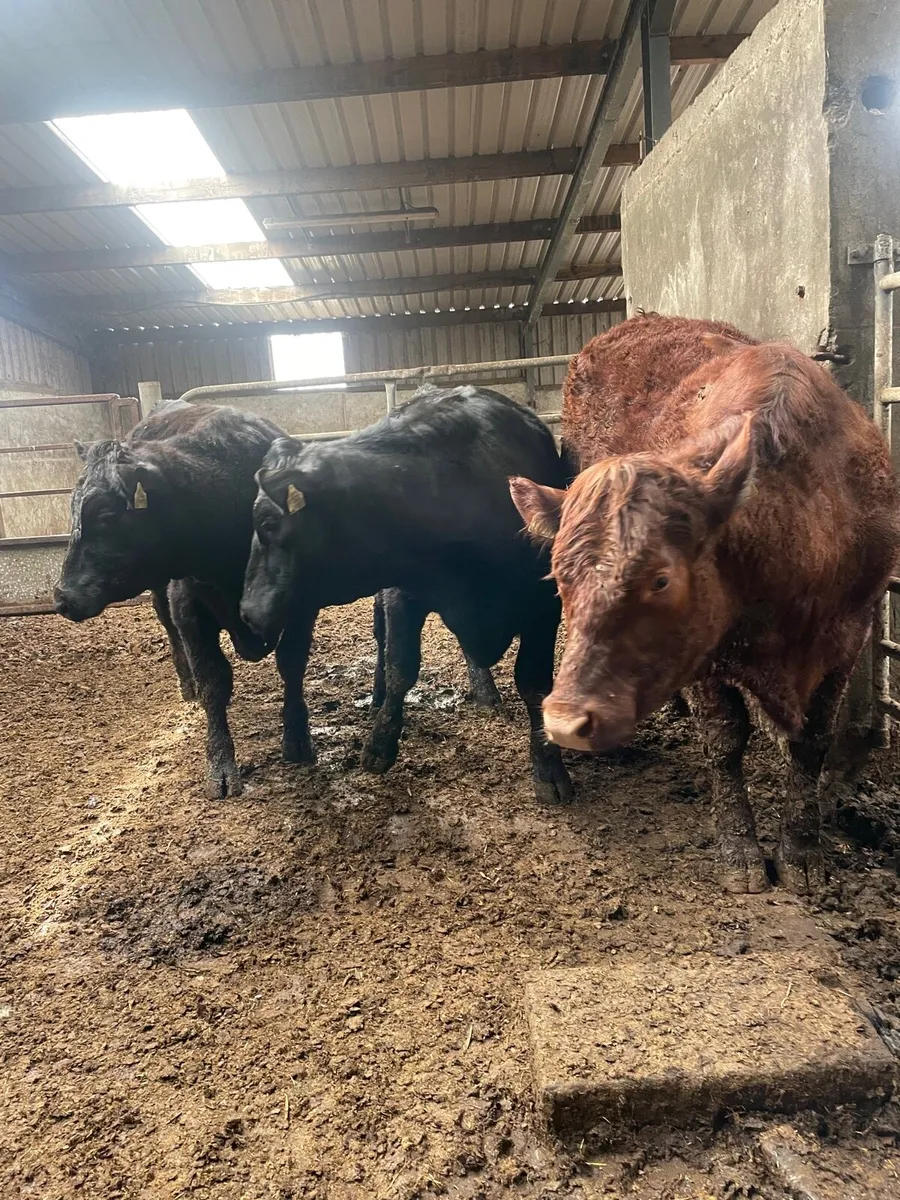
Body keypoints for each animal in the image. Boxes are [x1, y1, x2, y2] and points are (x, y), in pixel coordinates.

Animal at [239, 384, 574, 804]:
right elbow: (401, 666)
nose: (247, 612)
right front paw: (380, 744)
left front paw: (549, 768)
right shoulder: (403, 592)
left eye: (267, 523)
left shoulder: (544, 604)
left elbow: (533, 682)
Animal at [509, 314, 900, 894]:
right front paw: (739, 850)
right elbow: (725, 740)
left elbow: (812, 741)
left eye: (661, 579)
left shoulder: (850, 633)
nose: (562, 722)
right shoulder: (704, 659)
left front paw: (802, 850)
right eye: (559, 578)